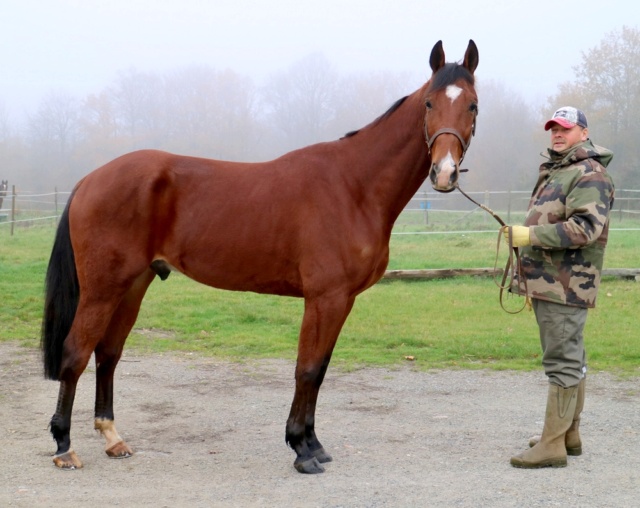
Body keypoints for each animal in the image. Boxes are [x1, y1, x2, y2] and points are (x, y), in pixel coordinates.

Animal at [40, 41, 478, 474]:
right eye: (429, 103)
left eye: (472, 105)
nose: (444, 173)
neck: (354, 186)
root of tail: (89, 180)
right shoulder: (325, 298)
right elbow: (307, 370)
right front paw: (302, 449)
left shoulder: (343, 300)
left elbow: (320, 370)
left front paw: (314, 444)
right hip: (102, 289)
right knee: (76, 353)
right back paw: (64, 446)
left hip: (133, 285)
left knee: (108, 353)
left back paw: (113, 439)